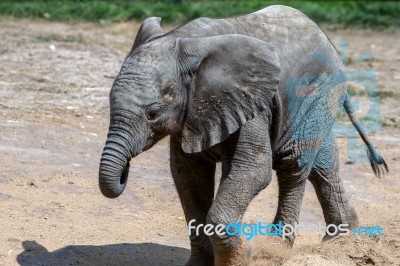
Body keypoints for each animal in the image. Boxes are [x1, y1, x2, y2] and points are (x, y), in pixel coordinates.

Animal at [99, 4, 388, 266]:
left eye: (153, 114)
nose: (125, 172)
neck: (183, 39)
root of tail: (327, 40)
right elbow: (189, 177)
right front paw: (201, 263)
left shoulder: (252, 103)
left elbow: (253, 170)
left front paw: (239, 258)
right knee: (322, 163)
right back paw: (342, 240)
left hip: (317, 91)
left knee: (294, 163)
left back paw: (276, 250)